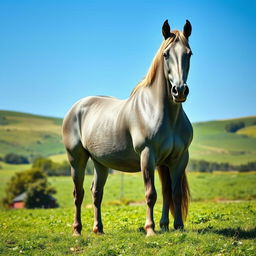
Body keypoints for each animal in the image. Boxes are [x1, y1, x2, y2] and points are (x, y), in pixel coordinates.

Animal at [63, 19, 193, 236]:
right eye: (166, 54)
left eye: (189, 53)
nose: (179, 90)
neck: (161, 112)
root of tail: (76, 108)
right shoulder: (147, 155)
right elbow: (151, 194)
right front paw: (150, 229)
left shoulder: (177, 158)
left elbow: (172, 192)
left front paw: (177, 227)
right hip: (77, 160)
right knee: (78, 193)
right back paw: (77, 230)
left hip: (100, 162)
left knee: (96, 192)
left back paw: (98, 229)